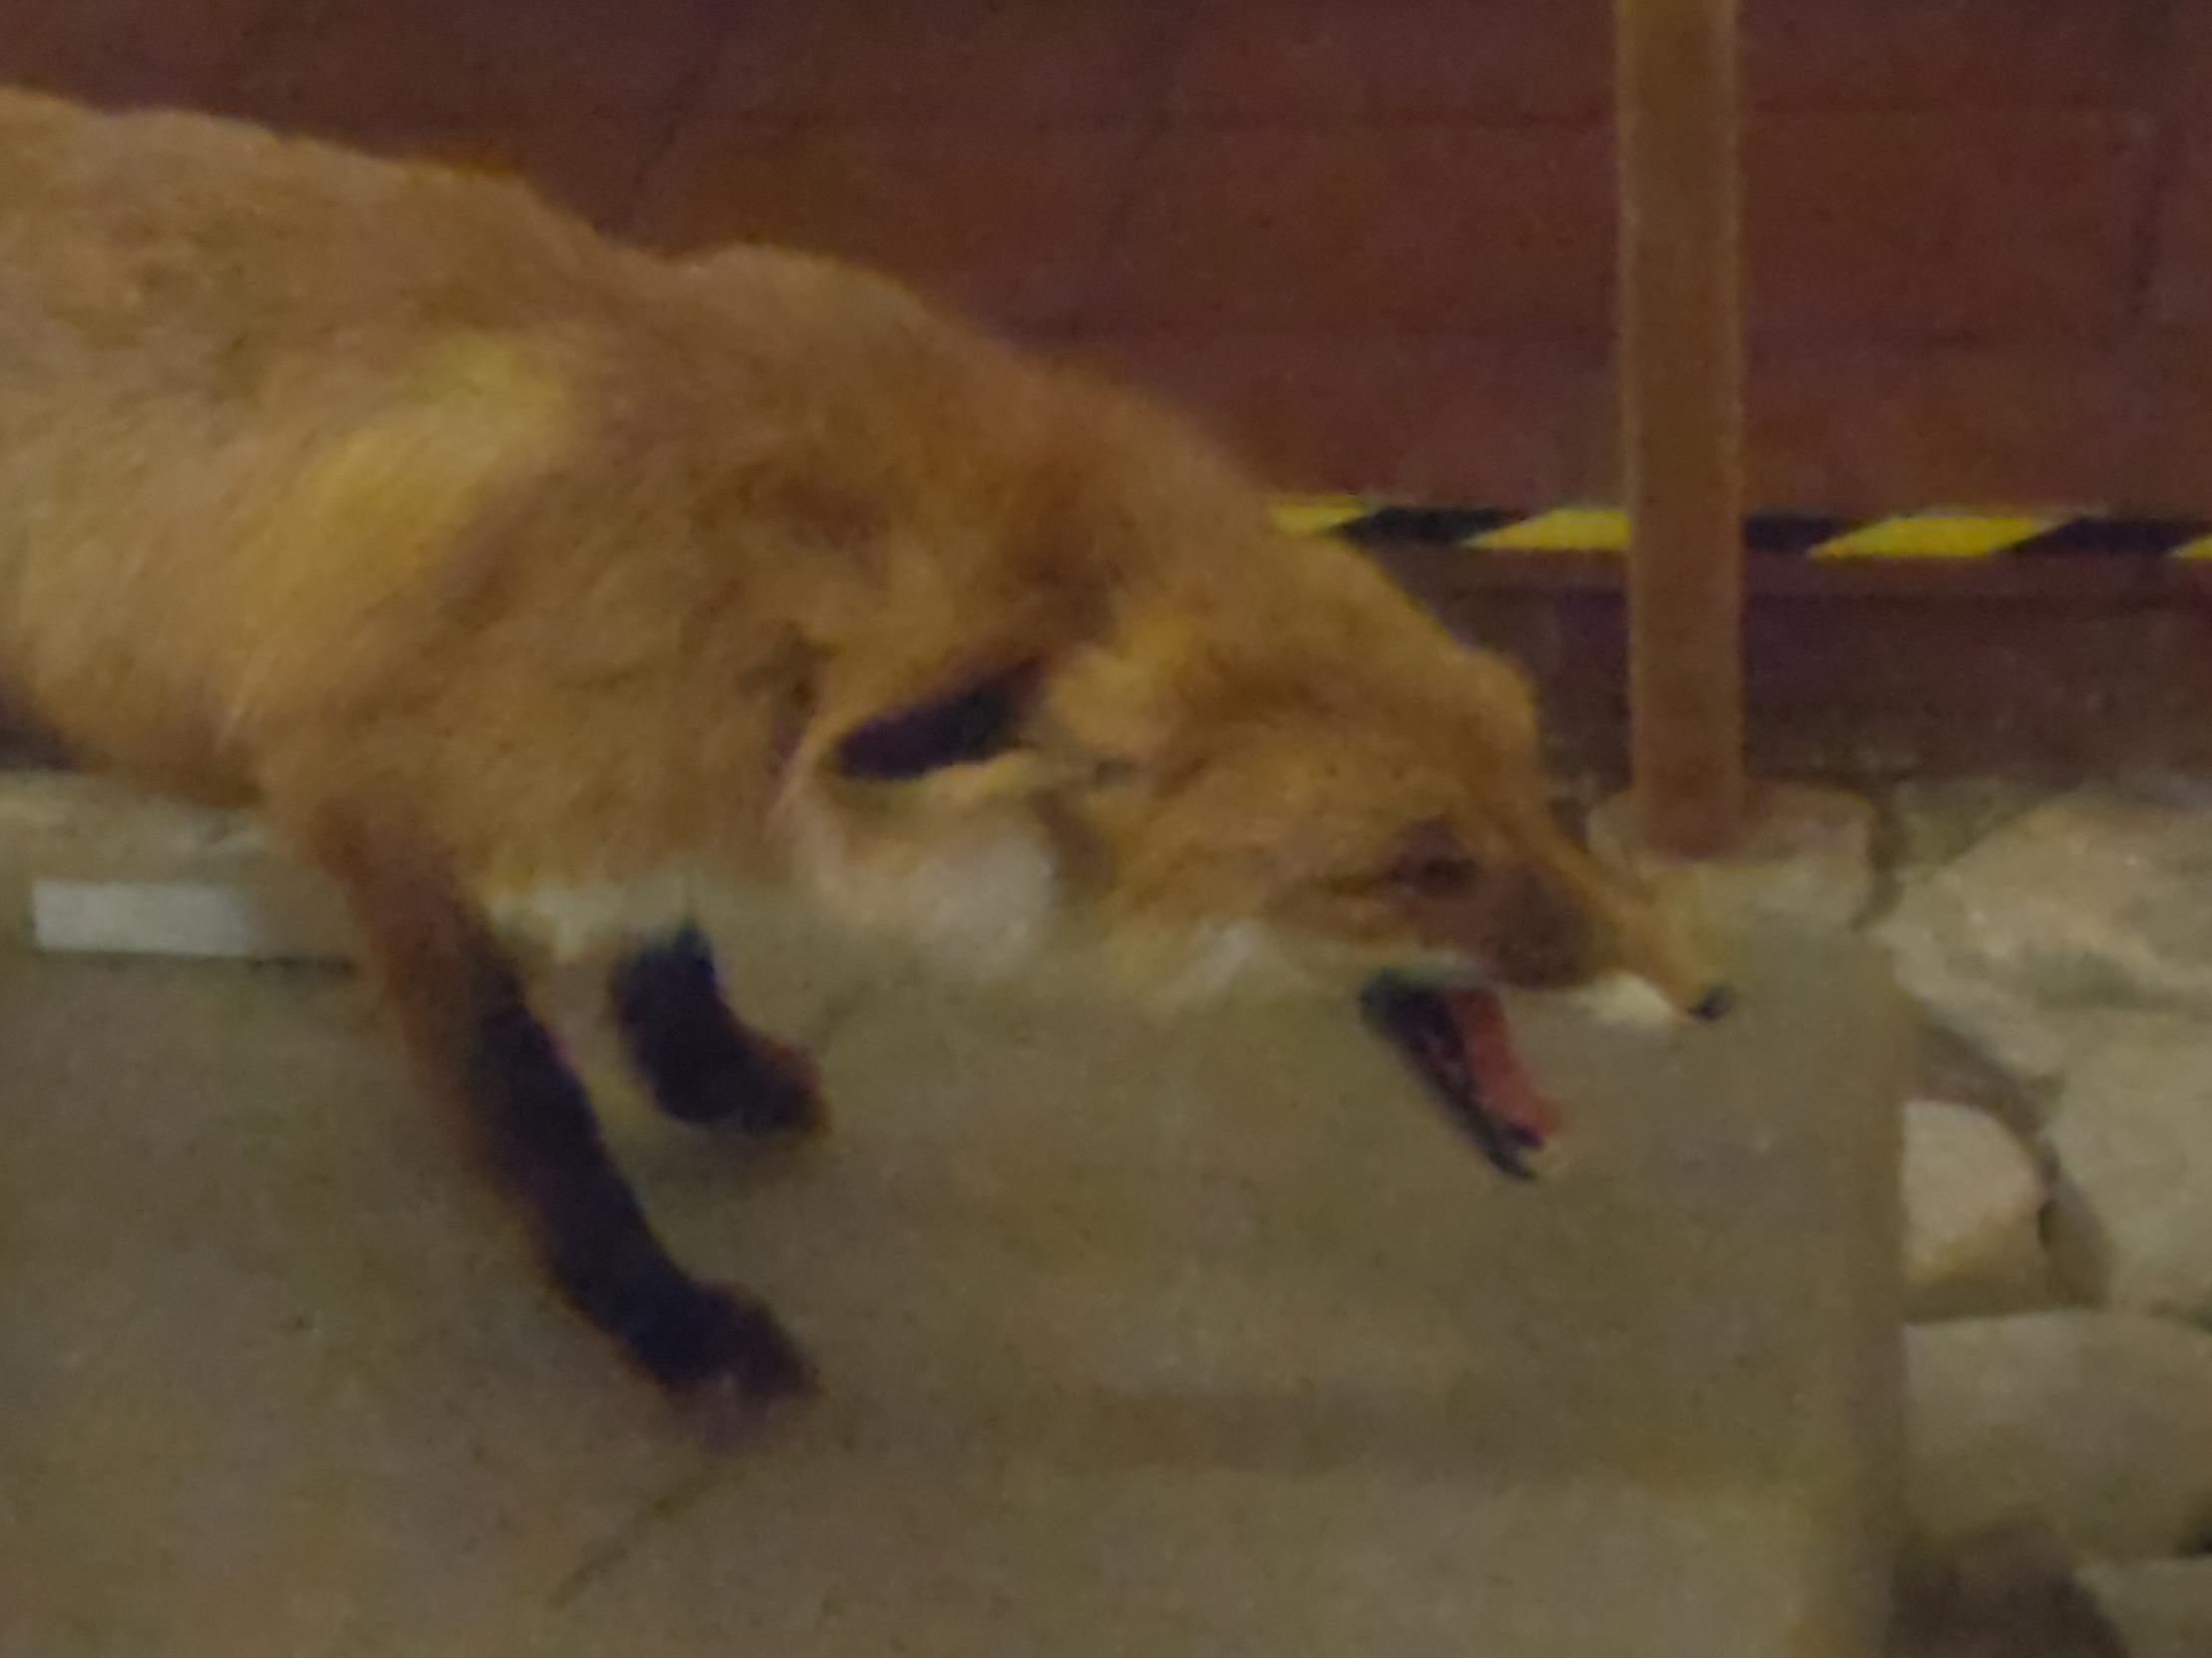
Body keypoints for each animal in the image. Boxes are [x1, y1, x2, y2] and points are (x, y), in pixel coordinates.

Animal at [0, 86, 1729, 1403]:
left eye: (1542, 786)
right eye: (1422, 868)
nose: (1711, 994)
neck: (754, 561)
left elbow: (664, 934)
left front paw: (706, 1068)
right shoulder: (366, 804)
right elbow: (533, 1110)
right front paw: (668, 1328)